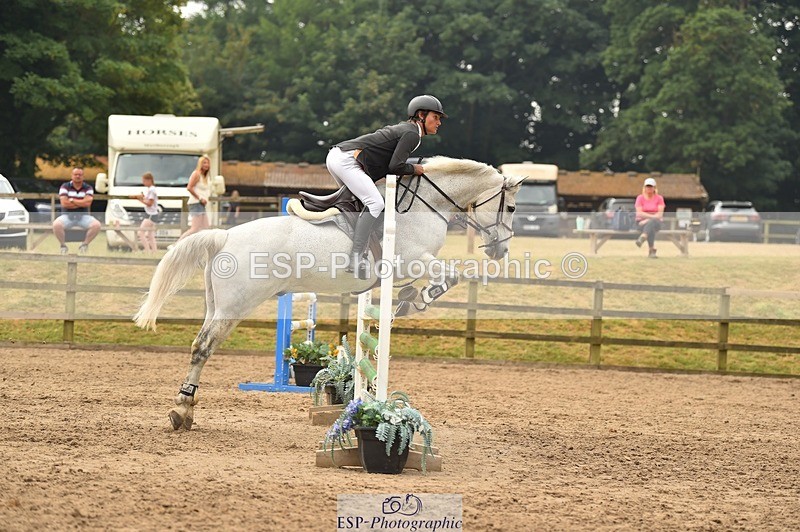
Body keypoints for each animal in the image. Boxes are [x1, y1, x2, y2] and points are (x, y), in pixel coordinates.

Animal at [134, 156, 526, 430]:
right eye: (510, 207)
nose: (501, 251)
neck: (425, 205)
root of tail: (225, 235)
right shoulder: (414, 261)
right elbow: (450, 277)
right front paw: (415, 301)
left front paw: (407, 301)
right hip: (236, 304)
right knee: (203, 347)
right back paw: (181, 409)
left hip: (217, 304)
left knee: (200, 344)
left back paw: (186, 411)